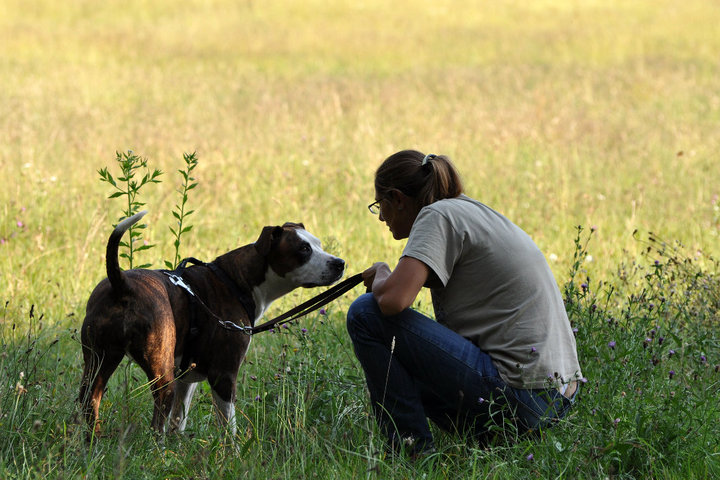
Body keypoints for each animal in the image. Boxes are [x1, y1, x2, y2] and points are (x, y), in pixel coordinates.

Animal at [80, 212, 344, 436]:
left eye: (318, 244)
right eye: (303, 249)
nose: (340, 263)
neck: (237, 280)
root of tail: (122, 284)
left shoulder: (186, 379)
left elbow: (178, 421)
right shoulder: (223, 375)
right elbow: (229, 428)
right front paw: (232, 457)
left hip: (98, 362)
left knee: (89, 401)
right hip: (162, 375)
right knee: (157, 423)